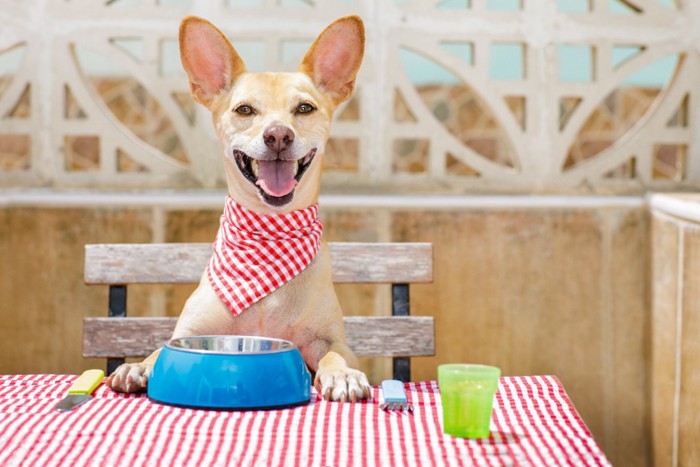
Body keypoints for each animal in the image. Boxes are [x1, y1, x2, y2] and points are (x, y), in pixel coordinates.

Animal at [105, 14, 372, 402]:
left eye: (304, 108)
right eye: (244, 109)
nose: (278, 135)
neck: (266, 233)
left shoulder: (331, 339)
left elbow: (335, 354)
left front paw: (343, 375)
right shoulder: (188, 331)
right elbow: (158, 349)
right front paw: (137, 365)